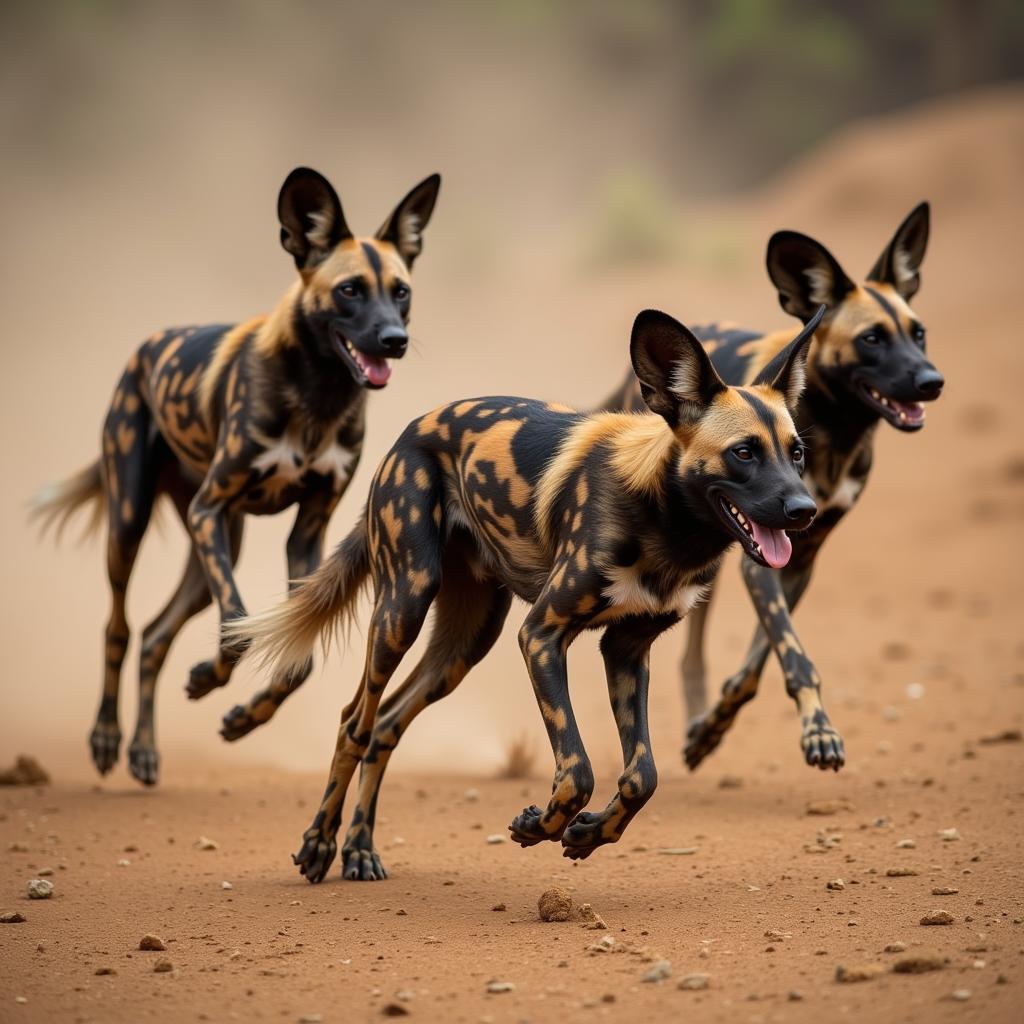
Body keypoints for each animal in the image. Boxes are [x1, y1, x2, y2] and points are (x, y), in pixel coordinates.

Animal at [30, 165, 440, 782]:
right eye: (349, 290)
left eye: (401, 291)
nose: (395, 340)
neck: (318, 396)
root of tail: (147, 345)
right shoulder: (211, 509)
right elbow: (239, 630)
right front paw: (209, 678)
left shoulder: (306, 532)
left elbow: (295, 660)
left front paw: (245, 717)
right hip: (136, 523)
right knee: (118, 628)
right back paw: (106, 737)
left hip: (216, 548)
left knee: (154, 635)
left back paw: (144, 749)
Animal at [228, 301, 819, 880]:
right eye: (744, 453)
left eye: (797, 453)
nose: (805, 510)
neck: (666, 522)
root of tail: (409, 432)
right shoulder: (542, 635)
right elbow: (577, 771)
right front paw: (540, 826)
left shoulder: (625, 650)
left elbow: (642, 776)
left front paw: (587, 834)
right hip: (404, 608)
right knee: (356, 722)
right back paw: (319, 844)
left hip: (464, 647)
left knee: (386, 726)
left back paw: (359, 849)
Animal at [598, 203, 942, 770]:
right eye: (871, 339)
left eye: (919, 334)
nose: (932, 381)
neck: (834, 430)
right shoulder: (757, 561)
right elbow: (795, 658)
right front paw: (818, 732)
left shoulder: (797, 559)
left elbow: (755, 666)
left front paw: (715, 726)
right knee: (690, 647)